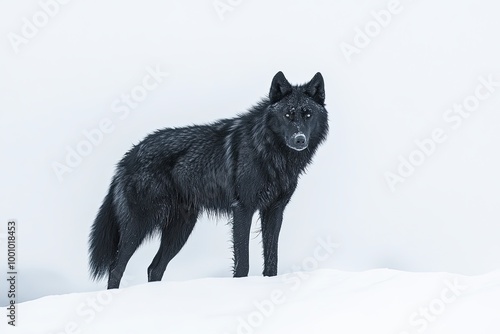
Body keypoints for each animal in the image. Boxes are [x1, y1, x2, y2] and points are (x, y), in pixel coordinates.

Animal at [89, 72, 328, 288]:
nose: (299, 139)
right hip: (138, 227)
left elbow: (272, 259)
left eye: (308, 115)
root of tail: (128, 156)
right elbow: (243, 262)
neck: (271, 152)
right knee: (116, 269)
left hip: (180, 230)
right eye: (288, 115)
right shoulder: (243, 209)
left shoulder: (274, 210)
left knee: (154, 268)